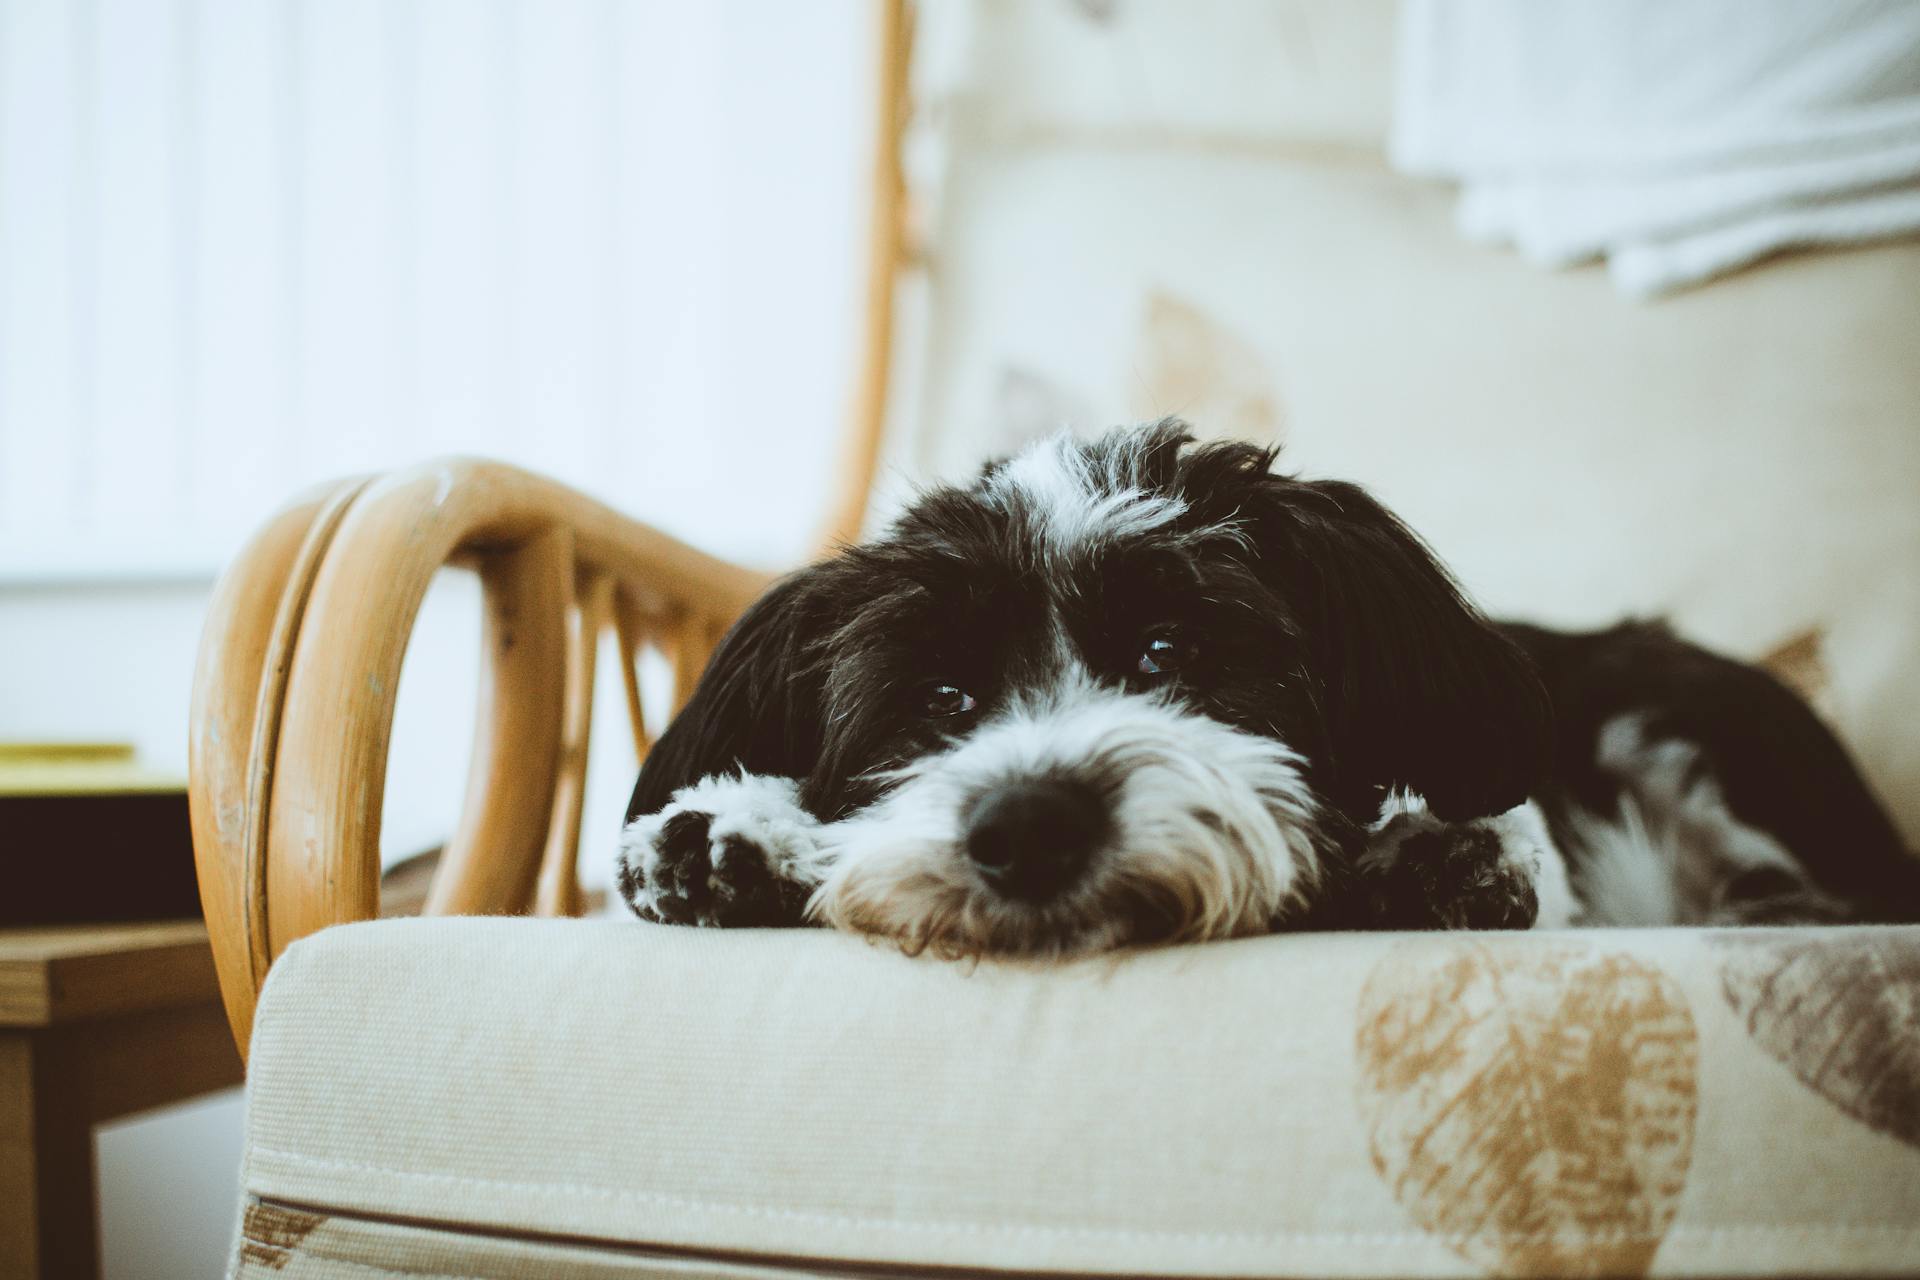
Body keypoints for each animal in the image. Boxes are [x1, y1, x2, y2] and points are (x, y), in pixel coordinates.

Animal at [618, 420, 1920, 951]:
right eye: (938, 699)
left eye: (1167, 653)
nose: (1029, 823)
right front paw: (732, 831)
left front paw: (1433, 847)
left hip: (1693, 721)